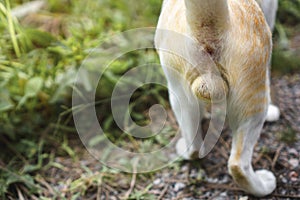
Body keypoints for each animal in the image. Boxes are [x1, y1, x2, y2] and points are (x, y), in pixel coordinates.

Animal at [156, 0, 280, 197]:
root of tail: (208, 22)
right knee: (238, 164)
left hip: (178, 93)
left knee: (195, 145)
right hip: (253, 99)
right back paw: (263, 185)